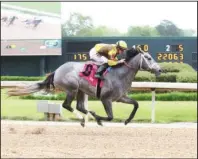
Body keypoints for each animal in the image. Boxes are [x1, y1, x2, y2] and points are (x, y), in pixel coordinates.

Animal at [8, 46, 162, 126]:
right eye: (148, 58)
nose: (160, 70)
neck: (119, 74)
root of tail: (57, 70)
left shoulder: (120, 97)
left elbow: (136, 104)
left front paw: (127, 121)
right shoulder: (106, 99)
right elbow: (110, 116)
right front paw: (100, 117)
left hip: (81, 90)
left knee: (80, 107)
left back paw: (90, 117)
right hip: (72, 89)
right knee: (67, 105)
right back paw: (84, 119)